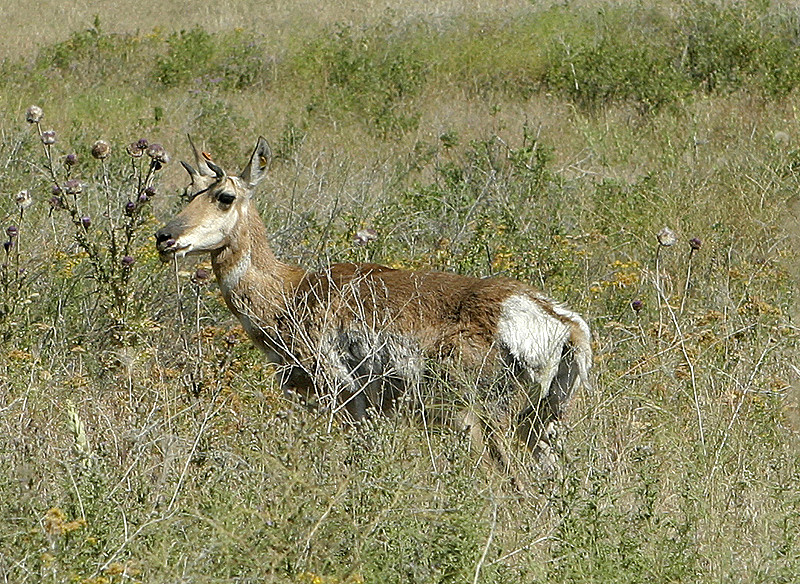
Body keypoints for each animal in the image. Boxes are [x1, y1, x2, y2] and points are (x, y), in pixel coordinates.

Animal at [158, 139, 592, 472]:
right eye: (189, 192)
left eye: (225, 197)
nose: (164, 237)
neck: (292, 291)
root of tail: (562, 323)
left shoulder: (346, 399)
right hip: (543, 425)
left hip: (480, 420)